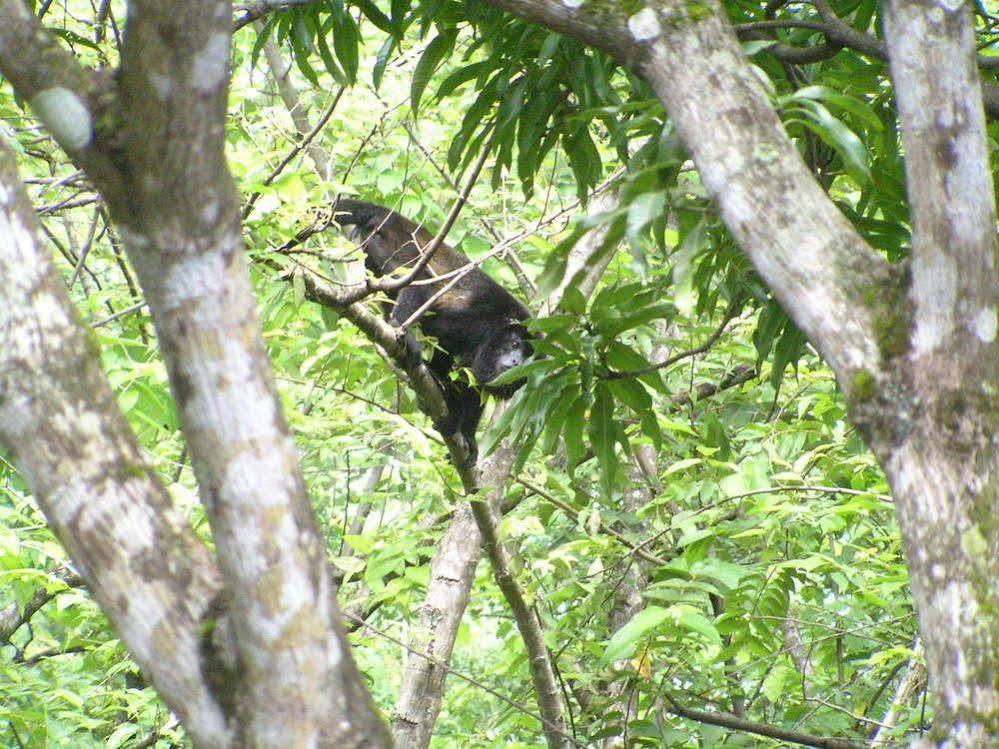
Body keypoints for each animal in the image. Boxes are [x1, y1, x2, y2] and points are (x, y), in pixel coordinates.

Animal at [334, 199, 536, 456]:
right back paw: (403, 333)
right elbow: (440, 346)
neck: (498, 327)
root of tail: (393, 217)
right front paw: (446, 406)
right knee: (418, 281)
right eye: (515, 344)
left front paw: (467, 434)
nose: (516, 361)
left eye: (529, 356)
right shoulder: (476, 322)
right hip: (392, 244)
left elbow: (471, 385)